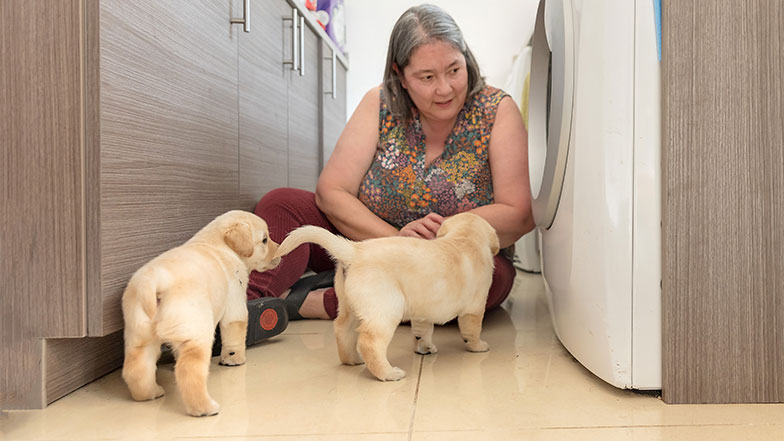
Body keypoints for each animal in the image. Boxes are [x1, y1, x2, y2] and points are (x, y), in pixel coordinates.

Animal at [121, 210, 280, 416]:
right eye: (265, 240)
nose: (279, 249)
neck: (218, 245)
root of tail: (155, 283)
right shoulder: (235, 300)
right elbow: (235, 331)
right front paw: (234, 359)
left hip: (139, 335)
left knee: (137, 368)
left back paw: (150, 393)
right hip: (196, 332)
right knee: (189, 371)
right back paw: (205, 408)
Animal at [272, 211, 500, 380]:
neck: (465, 238)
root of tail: (354, 251)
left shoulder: (423, 310)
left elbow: (423, 330)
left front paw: (425, 347)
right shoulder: (474, 308)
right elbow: (472, 330)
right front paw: (478, 347)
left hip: (349, 306)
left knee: (342, 330)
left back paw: (352, 360)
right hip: (385, 310)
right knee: (370, 342)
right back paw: (389, 373)